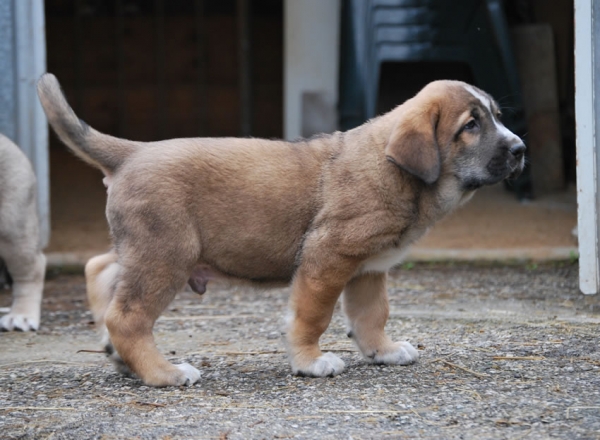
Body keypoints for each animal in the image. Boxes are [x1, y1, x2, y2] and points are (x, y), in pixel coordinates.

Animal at [37, 74, 524, 386]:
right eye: (471, 125)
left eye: (497, 116)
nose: (520, 149)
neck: (395, 169)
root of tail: (132, 153)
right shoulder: (328, 257)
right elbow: (312, 315)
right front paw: (309, 361)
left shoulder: (368, 269)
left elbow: (371, 315)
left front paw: (382, 351)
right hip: (165, 254)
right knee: (128, 316)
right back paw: (164, 373)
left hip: (141, 250)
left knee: (100, 268)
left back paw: (114, 351)